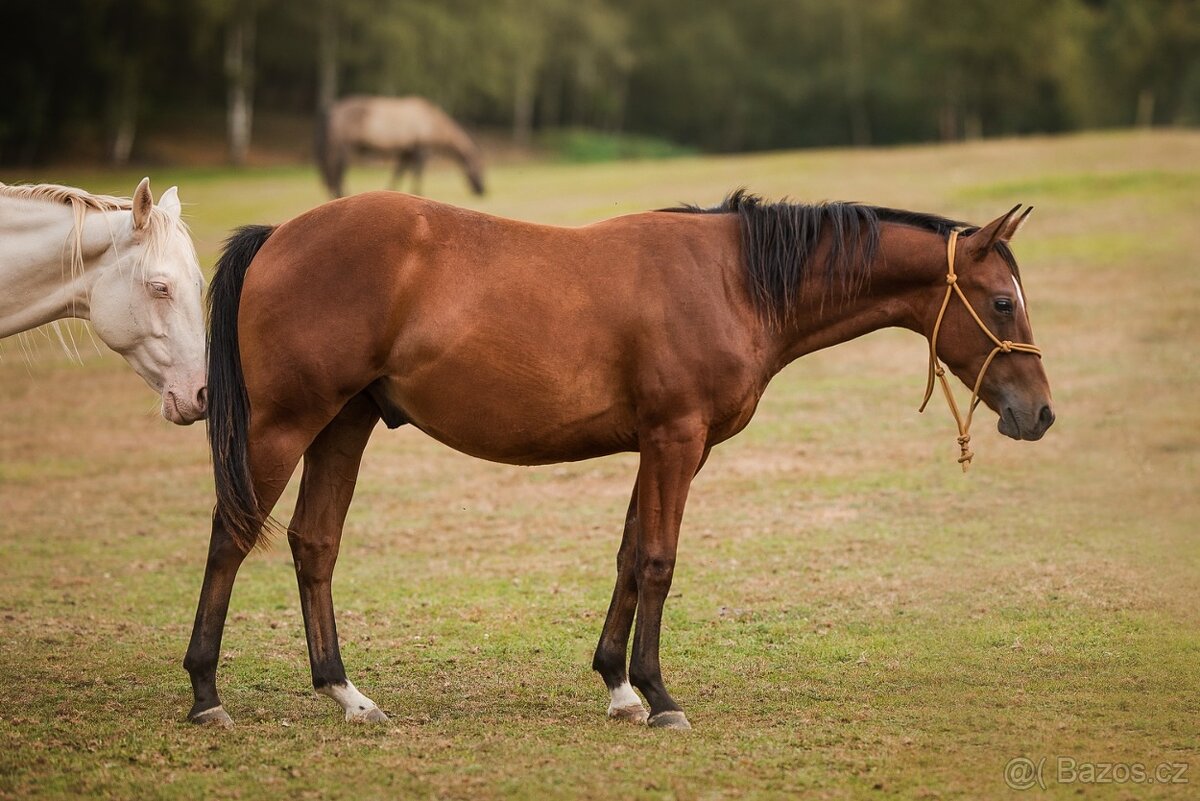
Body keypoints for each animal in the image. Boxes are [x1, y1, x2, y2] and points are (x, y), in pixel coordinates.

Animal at [182, 190, 1056, 729]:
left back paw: (346, 693)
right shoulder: (675, 438)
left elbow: (632, 556)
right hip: (285, 425)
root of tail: (280, 234)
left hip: (344, 423)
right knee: (232, 535)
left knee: (313, 543)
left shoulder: (665, 448)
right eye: (1002, 301)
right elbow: (661, 561)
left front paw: (619, 684)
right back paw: (205, 691)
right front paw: (661, 694)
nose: (1040, 412)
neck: (735, 281)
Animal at [319, 95, 492, 199]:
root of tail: (334, 109)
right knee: (338, 170)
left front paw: (390, 190)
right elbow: (417, 172)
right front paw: (418, 192)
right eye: (480, 168)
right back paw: (342, 194)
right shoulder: (421, 151)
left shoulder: (406, 152)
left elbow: (399, 172)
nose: (482, 191)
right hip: (344, 147)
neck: (431, 121)